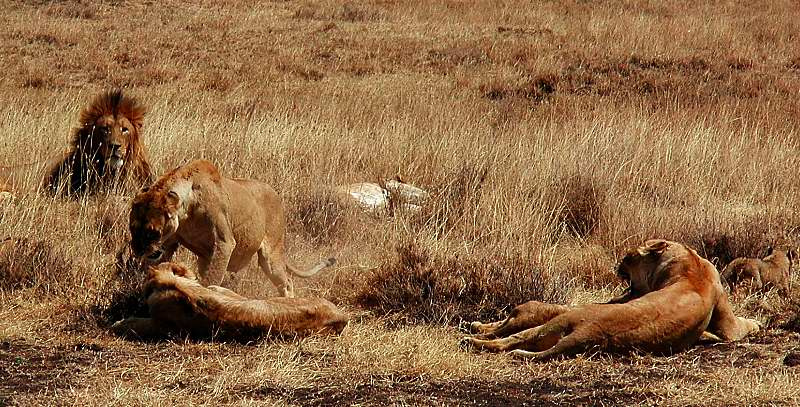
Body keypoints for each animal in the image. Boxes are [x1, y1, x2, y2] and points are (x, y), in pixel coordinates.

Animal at [129, 159, 334, 297]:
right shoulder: (172, 242)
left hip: (270, 254)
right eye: (132, 229)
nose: (138, 250)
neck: (186, 211)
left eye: (152, 233)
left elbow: (210, 280)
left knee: (287, 282)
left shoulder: (224, 241)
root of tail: (275, 193)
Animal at [462, 239, 760, 360]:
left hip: (557, 323)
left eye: (629, 256)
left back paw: (472, 339)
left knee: (508, 340)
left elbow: (737, 327)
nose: (617, 263)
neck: (689, 262)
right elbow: (734, 328)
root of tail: (587, 334)